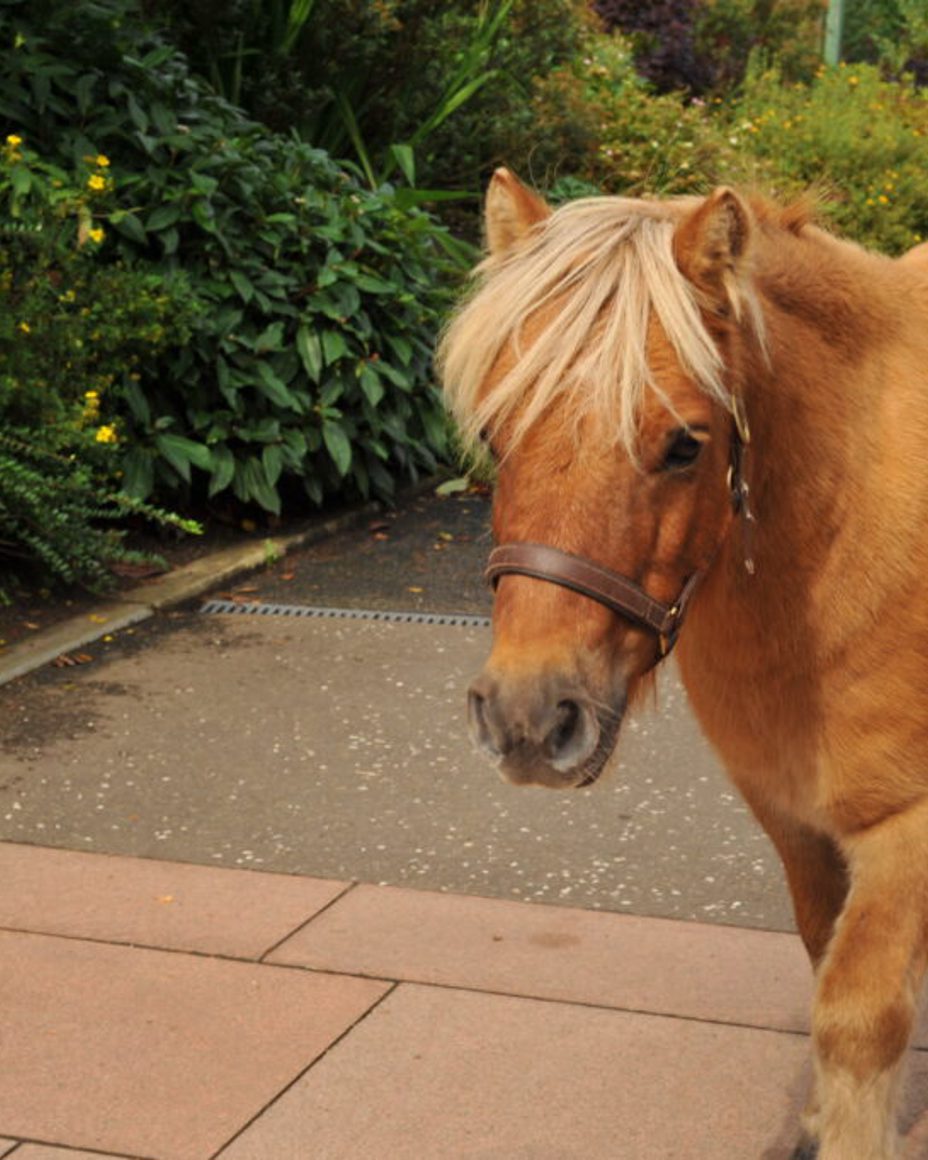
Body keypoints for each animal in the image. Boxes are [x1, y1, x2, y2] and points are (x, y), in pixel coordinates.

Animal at [438, 169, 928, 1160]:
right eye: (498, 435)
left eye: (684, 444)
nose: (528, 716)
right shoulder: (791, 816)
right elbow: (824, 957)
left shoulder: (909, 828)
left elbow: (860, 1020)